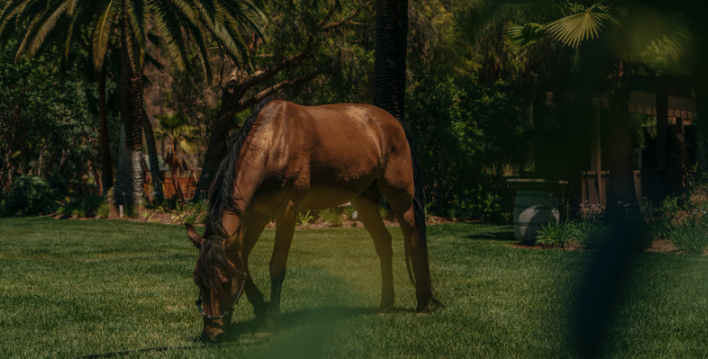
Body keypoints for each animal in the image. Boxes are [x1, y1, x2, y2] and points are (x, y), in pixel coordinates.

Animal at [185, 98, 440, 344]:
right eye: (197, 281)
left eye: (225, 283)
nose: (212, 334)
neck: (274, 141)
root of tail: (394, 122)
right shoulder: (257, 214)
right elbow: (243, 261)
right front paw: (260, 307)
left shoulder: (287, 210)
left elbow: (276, 267)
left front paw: (270, 323)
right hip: (366, 200)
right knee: (384, 243)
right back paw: (385, 304)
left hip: (400, 197)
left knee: (414, 239)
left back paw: (422, 304)